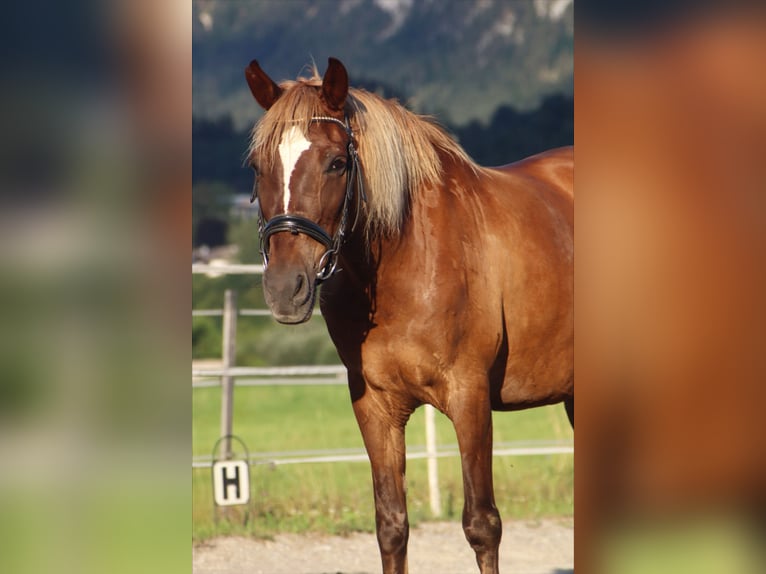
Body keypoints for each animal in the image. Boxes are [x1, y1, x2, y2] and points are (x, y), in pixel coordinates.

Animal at [244, 57, 573, 574]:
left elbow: (482, 524)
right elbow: (392, 525)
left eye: (337, 163)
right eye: (259, 167)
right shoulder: (374, 406)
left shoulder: (470, 397)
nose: (284, 289)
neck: (410, 258)